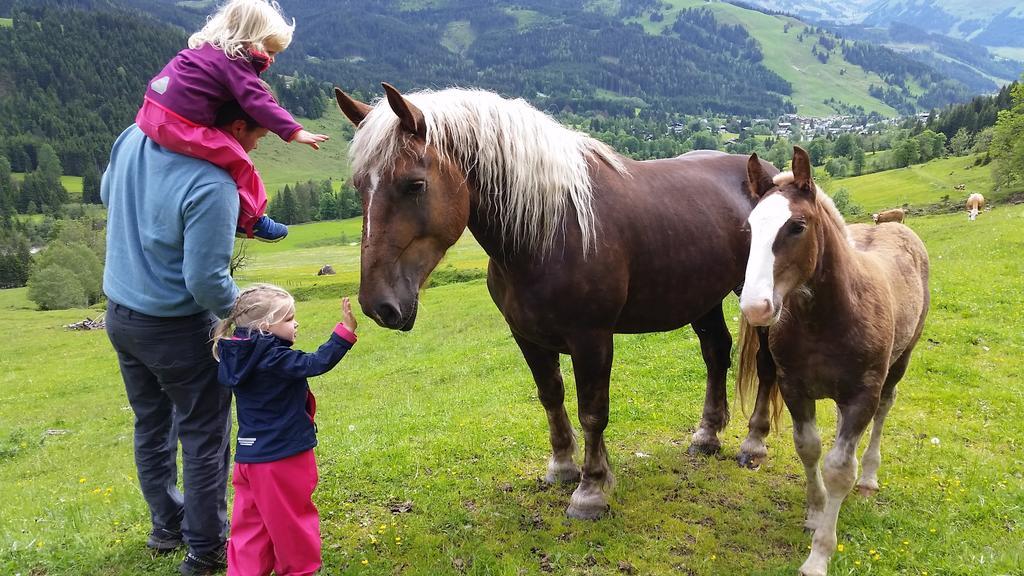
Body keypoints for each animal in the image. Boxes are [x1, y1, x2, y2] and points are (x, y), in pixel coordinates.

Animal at [335, 81, 774, 516]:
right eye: (358, 187)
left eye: (415, 184)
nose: (378, 305)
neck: (549, 231)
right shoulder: (526, 336)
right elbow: (550, 396)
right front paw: (562, 466)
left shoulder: (592, 340)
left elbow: (592, 412)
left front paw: (591, 489)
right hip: (703, 297)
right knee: (716, 353)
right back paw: (707, 436)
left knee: (766, 363)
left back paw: (754, 442)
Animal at [741, 146, 933, 573]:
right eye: (749, 228)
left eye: (797, 226)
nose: (755, 307)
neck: (825, 321)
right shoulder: (794, 387)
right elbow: (809, 448)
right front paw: (816, 513)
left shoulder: (862, 395)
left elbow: (840, 469)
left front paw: (819, 556)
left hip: (899, 362)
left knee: (885, 409)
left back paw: (870, 477)